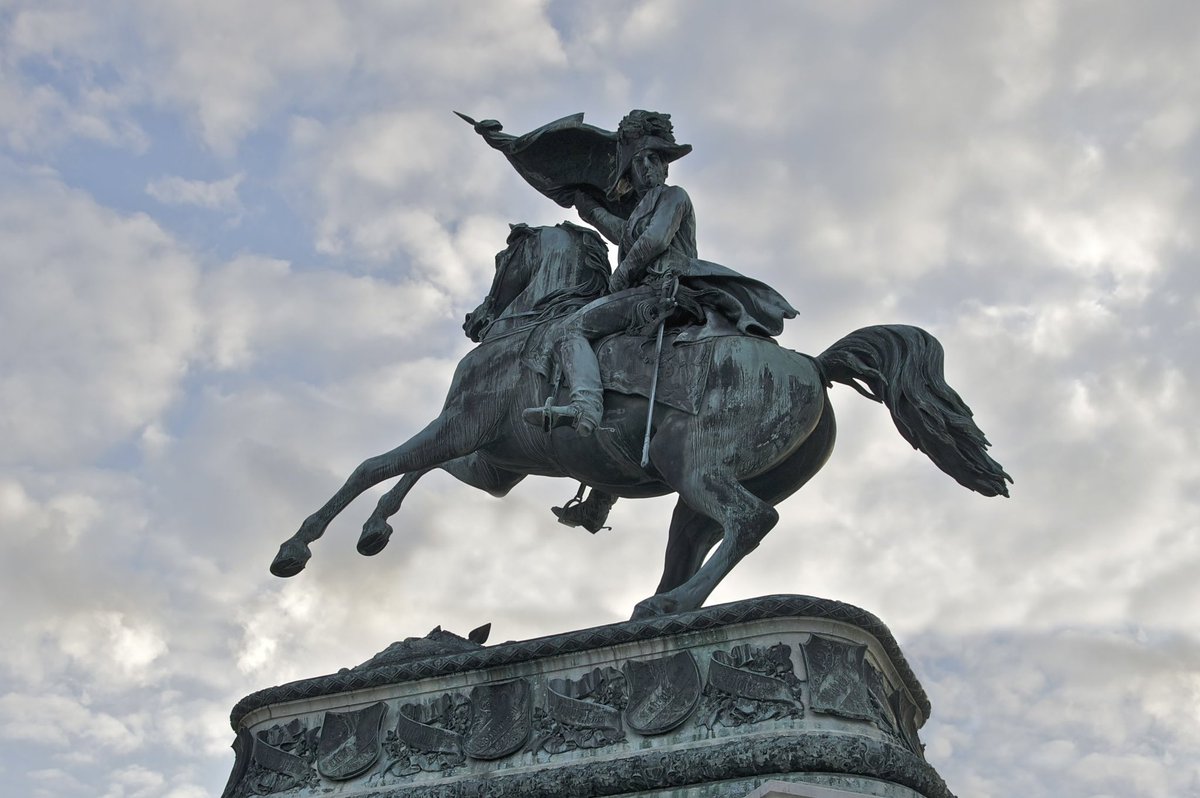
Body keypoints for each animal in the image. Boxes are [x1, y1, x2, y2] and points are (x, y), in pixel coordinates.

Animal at [272, 220, 1012, 619]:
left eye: (501, 258)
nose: (474, 320)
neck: (537, 322)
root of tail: (812, 365)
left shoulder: (464, 424)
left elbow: (376, 464)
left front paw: (297, 546)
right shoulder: (493, 461)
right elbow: (414, 473)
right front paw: (374, 531)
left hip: (700, 466)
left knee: (751, 521)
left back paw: (675, 606)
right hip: (696, 485)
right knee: (701, 541)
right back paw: (655, 608)